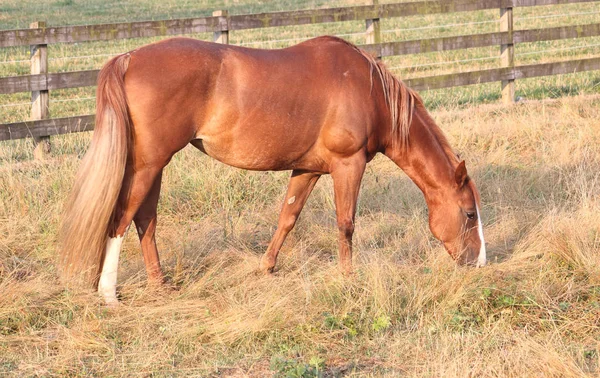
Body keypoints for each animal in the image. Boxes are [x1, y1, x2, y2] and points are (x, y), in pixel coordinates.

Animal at [57, 35, 488, 306]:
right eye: (469, 213)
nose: (479, 264)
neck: (370, 92)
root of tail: (128, 58)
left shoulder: (307, 170)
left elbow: (288, 217)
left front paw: (266, 267)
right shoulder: (348, 166)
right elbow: (346, 223)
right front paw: (348, 279)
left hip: (155, 166)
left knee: (145, 220)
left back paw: (160, 285)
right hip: (147, 165)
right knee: (121, 218)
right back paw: (109, 294)